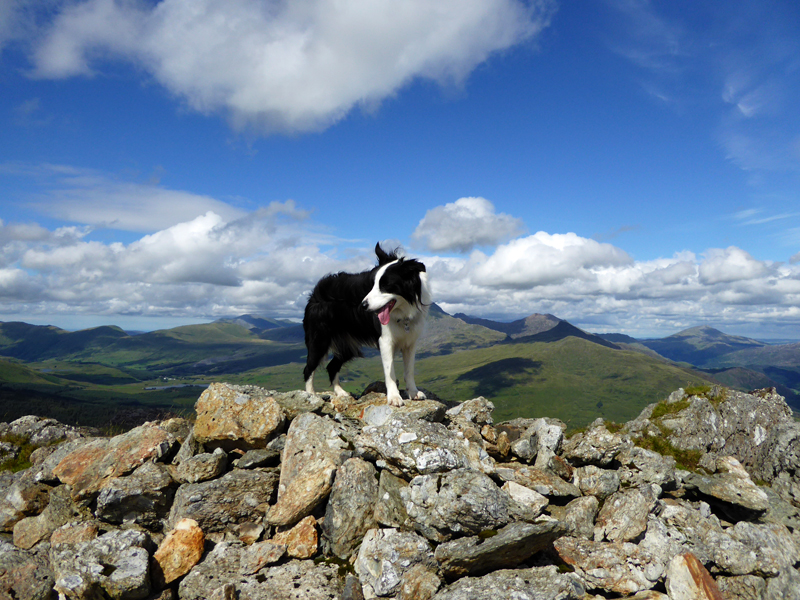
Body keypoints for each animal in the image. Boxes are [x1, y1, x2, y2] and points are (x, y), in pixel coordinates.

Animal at [304, 241, 432, 406]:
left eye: (385, 285)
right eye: (372, 285)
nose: (363, 305)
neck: (404, 312)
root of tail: (317, 289)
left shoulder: (410, 342)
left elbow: (409, 370)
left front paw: (413, 392)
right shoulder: (385, 340)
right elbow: (390, 372)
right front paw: (394, 397)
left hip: (347, 346)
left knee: (332, 366)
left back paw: (341, 392)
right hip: (319, 339)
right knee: (308, 368)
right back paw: (311, 396)